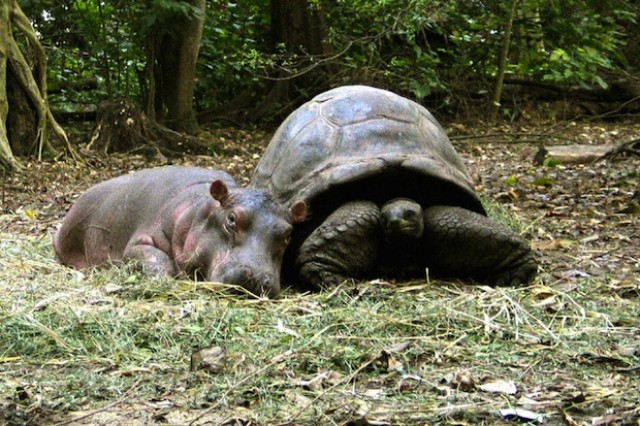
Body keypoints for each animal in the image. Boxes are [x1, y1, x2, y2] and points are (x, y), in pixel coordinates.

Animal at [53, 166, 307, 297]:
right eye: (232, 219)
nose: (258, 277)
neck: (199, 209)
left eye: (288, 234)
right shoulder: (142, 238)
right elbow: (152, 255)